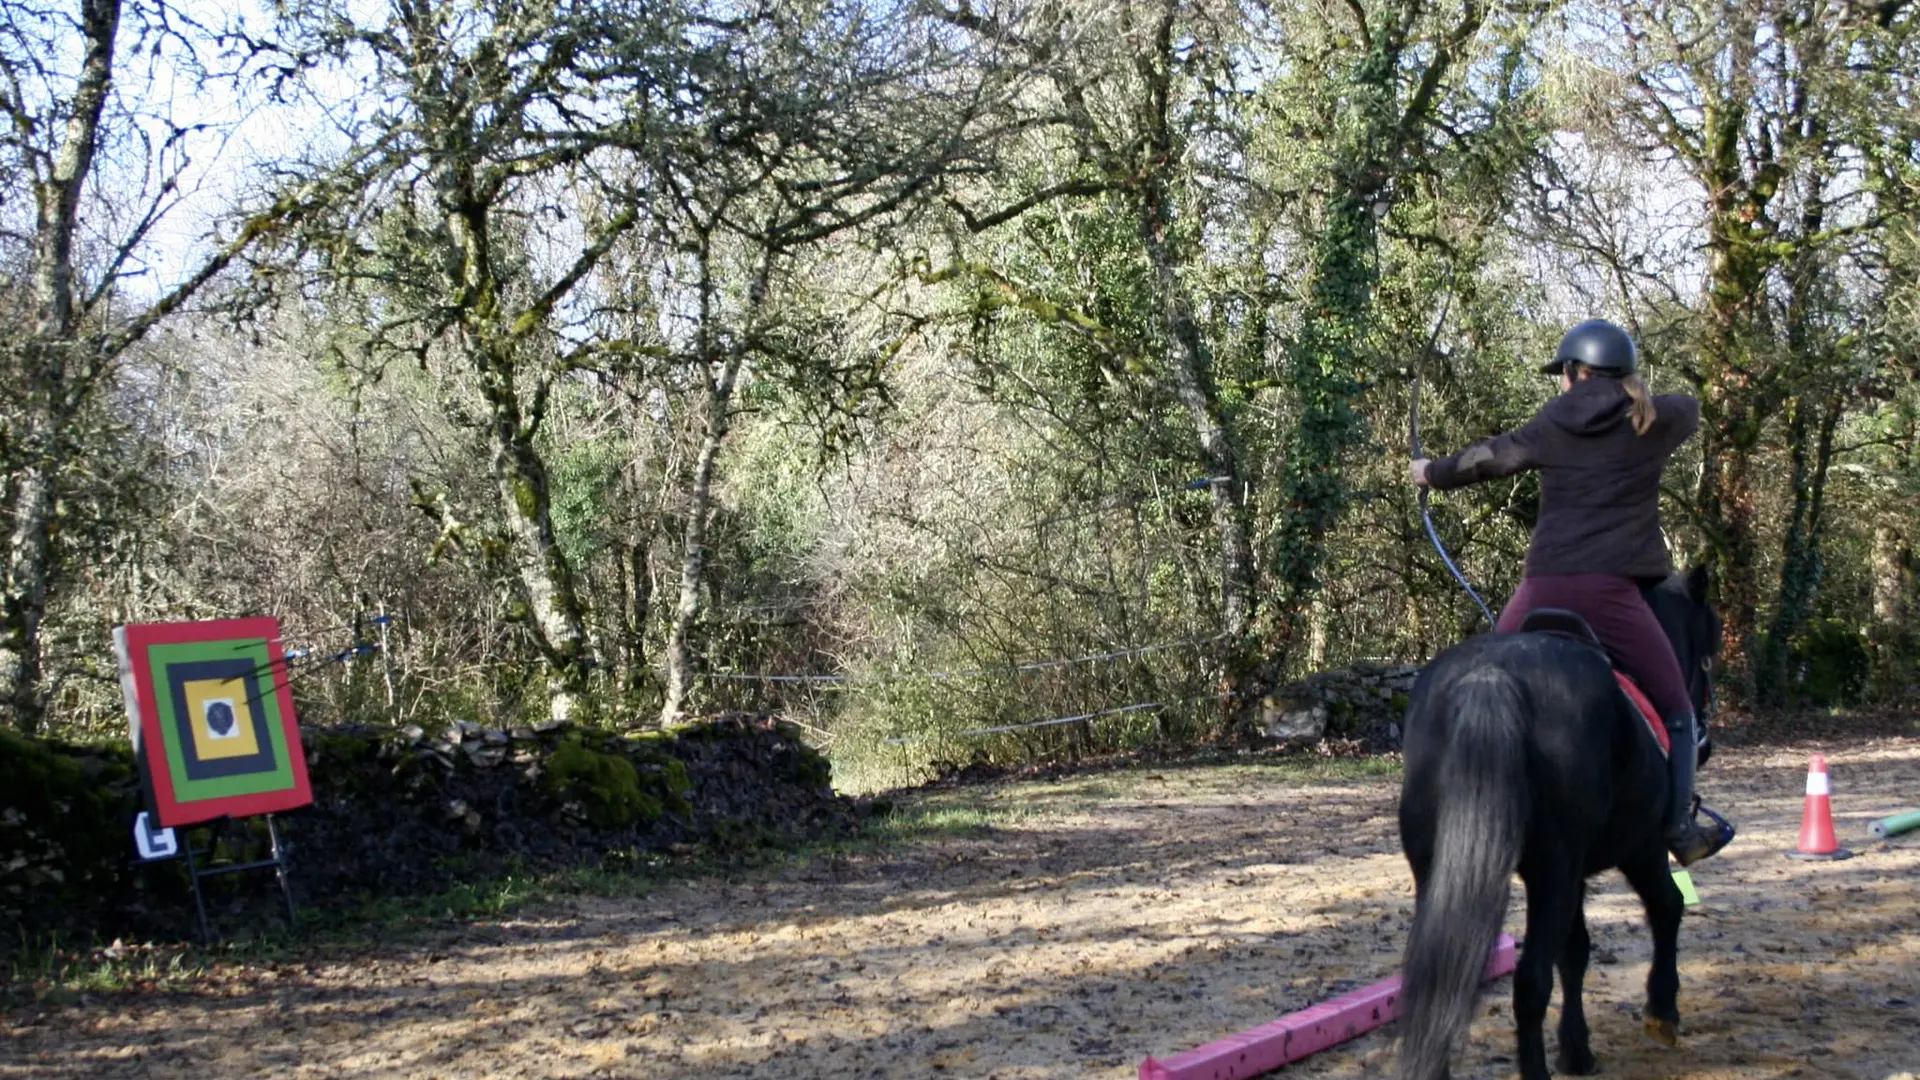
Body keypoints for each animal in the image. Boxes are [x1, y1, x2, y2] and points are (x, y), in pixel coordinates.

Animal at [1397, 564, 1728, 1076]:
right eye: (1710, 653)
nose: (1705, 738)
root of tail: (1490, 678)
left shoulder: (1575, 875)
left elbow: (1574, 952)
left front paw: (1576, 1049)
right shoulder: (1641, 849)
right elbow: (1667, 906)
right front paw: (1662, 1011)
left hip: (1443, 870)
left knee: (1436, 979)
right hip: (1555, 873)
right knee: (1530, 983)